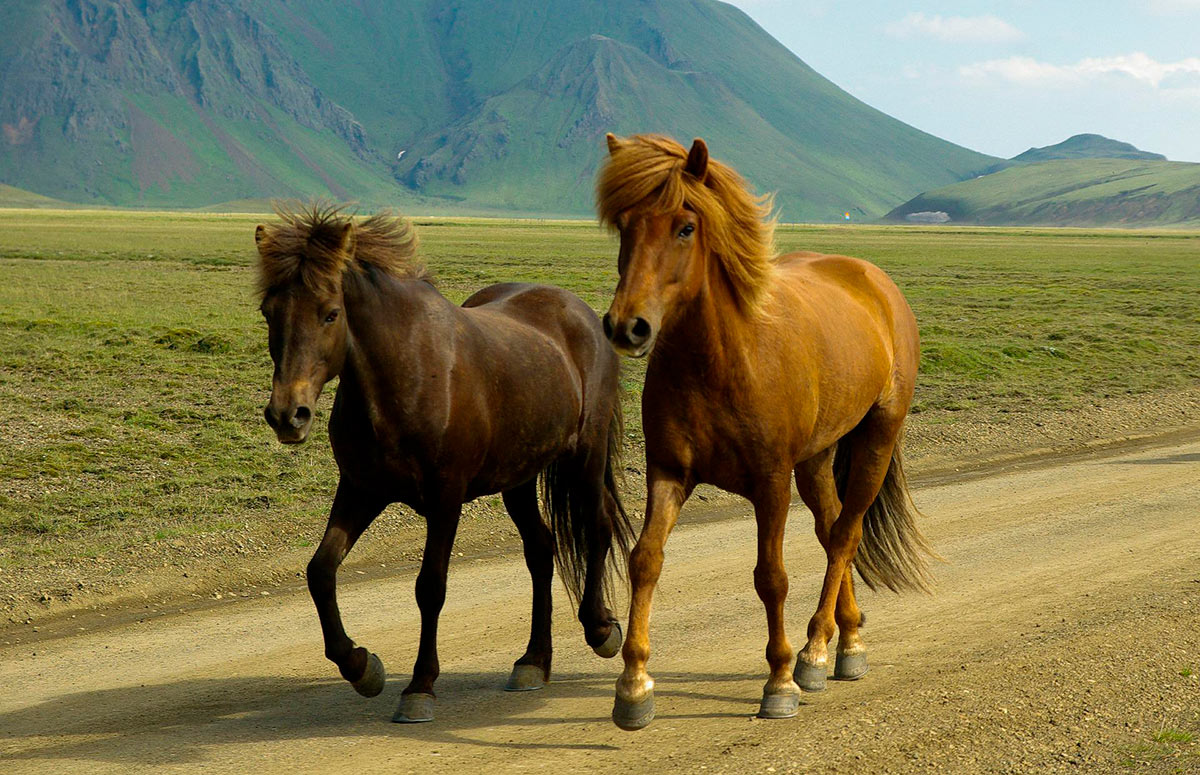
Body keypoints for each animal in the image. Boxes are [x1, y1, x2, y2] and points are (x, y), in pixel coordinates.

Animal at [249, 203, 633, 724]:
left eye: (330, 313)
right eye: (269, 312)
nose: (288, 415)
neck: (404, 375)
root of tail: (580, 312)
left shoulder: (445, 499)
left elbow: (430, 587)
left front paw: (420, 687)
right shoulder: (361, 489)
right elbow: (320, 571)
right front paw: (360, 666)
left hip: (585, 456)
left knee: (596, 527)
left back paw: (600, 629)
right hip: (518, 477)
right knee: (541, 550)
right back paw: (533, 661)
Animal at [595, 136, 931, 734]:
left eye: (685, 227)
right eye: (625, 225)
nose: (627, 326)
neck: (720, 360)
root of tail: (875, 280)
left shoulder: (770, 482)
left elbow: (770, 577)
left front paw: (779, 680)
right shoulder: (669, 473)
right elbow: (645, 560)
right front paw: (633, 685)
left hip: (877, 437)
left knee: (846, 534)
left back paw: (816, 651)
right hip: (816, 458)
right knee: (830, 527)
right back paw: (848, 639)